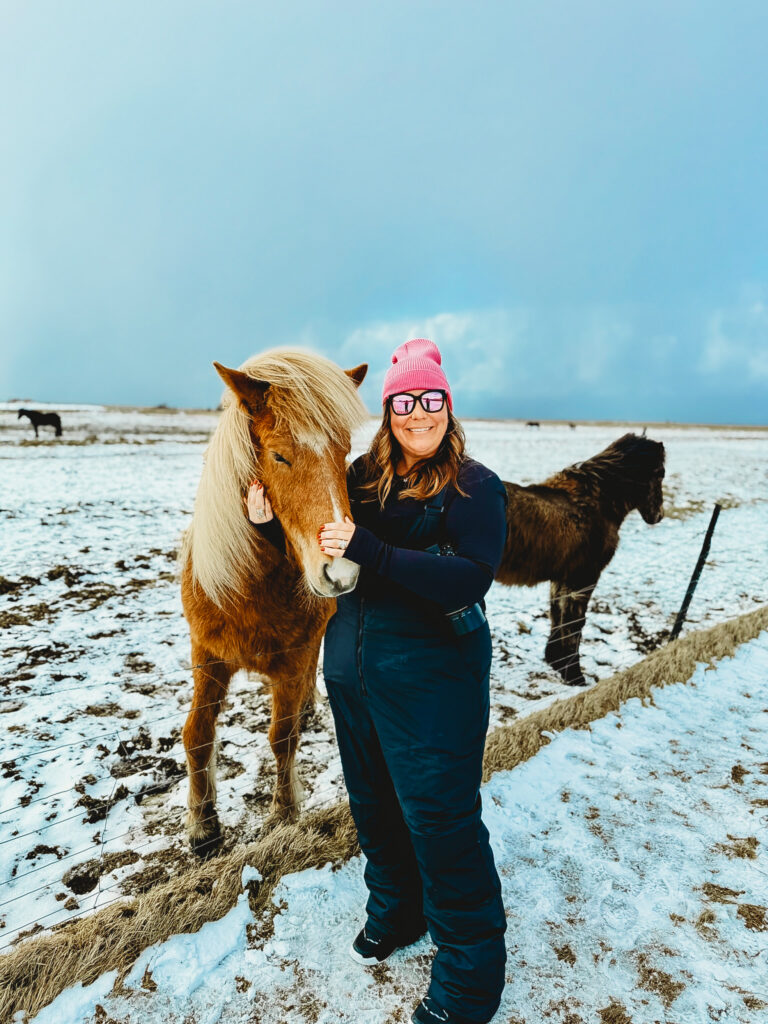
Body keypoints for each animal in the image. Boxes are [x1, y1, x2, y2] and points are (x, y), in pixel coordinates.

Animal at [179, 350, 368, 856]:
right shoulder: (207, 655)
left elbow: (283, 737)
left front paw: (284, 815)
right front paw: (203, 827)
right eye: (280, 455)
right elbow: (197, 735)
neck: (249, 589)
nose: (341, 573)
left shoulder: (293, 659)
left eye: (344, 453)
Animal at [495, 432, 665, 687]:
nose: (658, 515)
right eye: (660, 473)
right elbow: (575, 624)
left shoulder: (562, 578)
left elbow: (557, 615)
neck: (598, 503)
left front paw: (557, 662)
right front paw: (574, 675)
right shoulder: (585, 578)